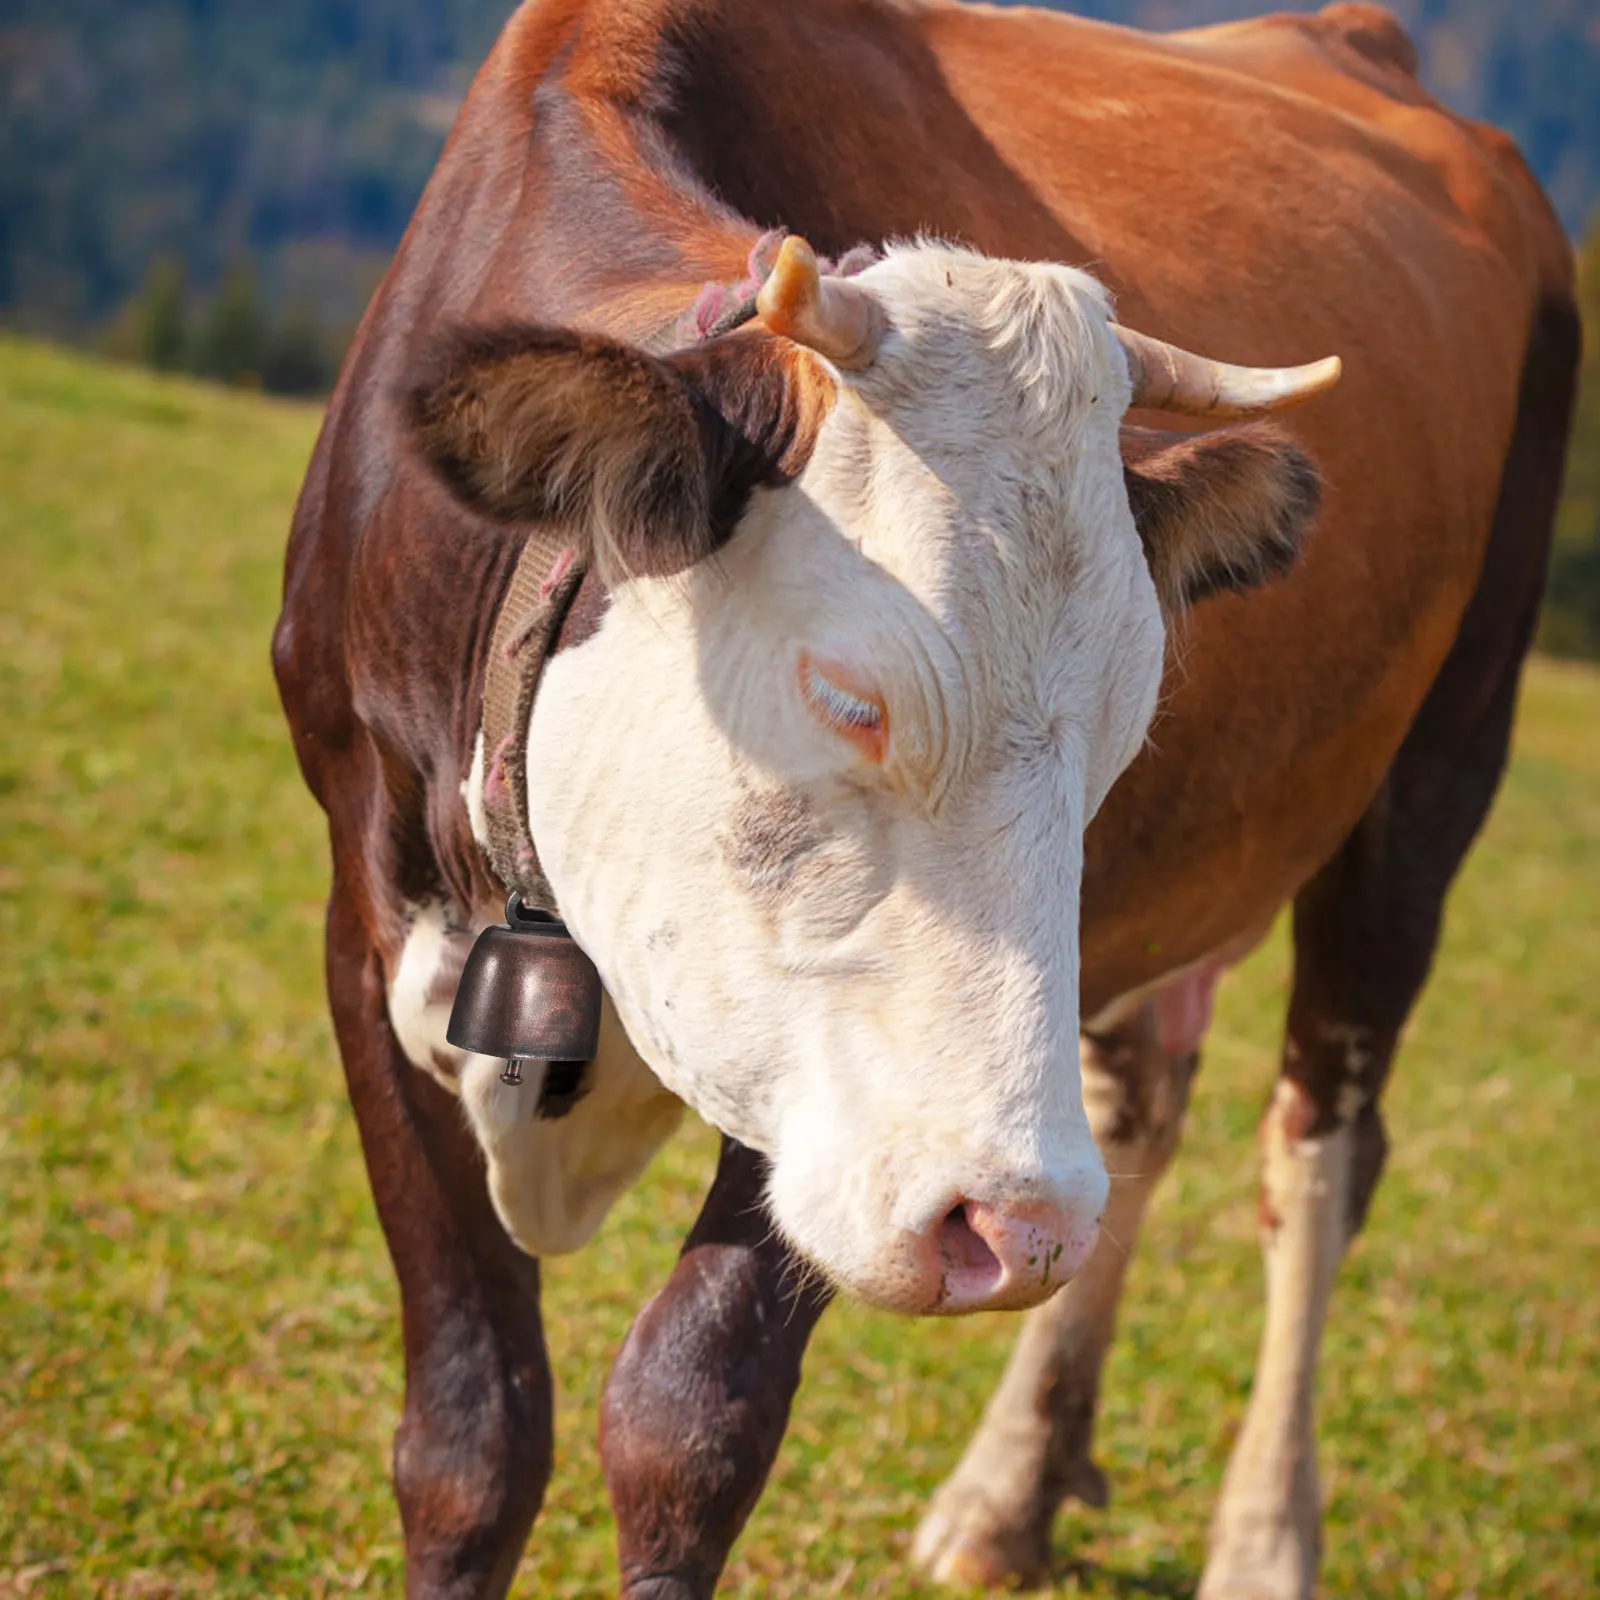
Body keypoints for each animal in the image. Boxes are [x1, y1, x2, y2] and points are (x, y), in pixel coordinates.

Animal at [271, 1, 1578, 1596]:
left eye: (1128, 717)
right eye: (850, 697)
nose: (1011, 1226)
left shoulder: (842, 1098)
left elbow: (684, 1422)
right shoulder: (363, 913)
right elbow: (469, 1434)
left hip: (1432, 786)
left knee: (1316, 1157)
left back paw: (1266, 1537)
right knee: (1142, 1105)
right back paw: (1013, 1487)